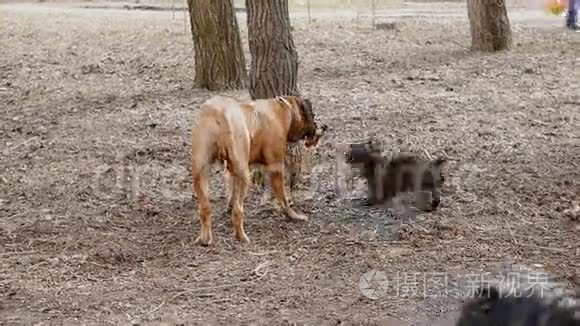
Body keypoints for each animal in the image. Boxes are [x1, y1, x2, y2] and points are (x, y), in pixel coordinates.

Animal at [193, 95, 324, 246]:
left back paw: (204, 238)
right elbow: (283, 198)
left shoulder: (231, 170)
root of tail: (217, 113)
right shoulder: (276, 167)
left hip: (200, 173)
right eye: (312, 114)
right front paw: (293, 215)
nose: (324, 127)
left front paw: (228, 205)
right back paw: (241, 236)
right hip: (244, 176)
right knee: (238, 211)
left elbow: (231, 191)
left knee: (205, 208)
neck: (284, 110)